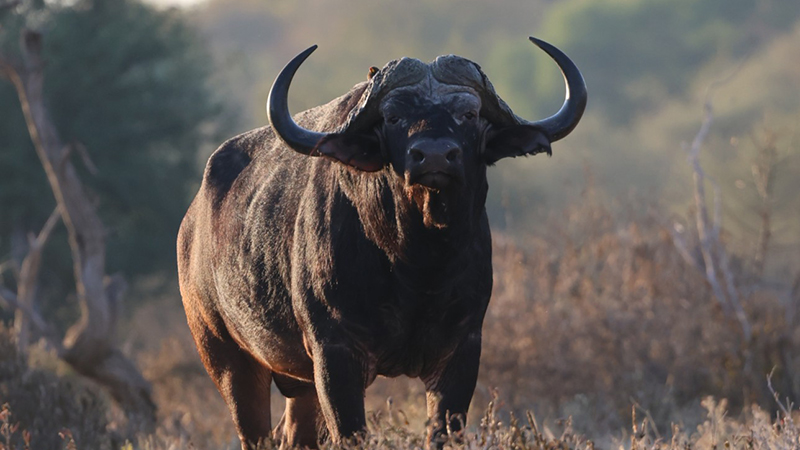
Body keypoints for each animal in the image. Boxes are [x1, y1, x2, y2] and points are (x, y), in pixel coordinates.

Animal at [177, 37, 586, 449]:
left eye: (469, 113)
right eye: (392, 118)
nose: (434, 155)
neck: (417, 263)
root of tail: (190, 225)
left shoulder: (463, 350)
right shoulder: (334, 355)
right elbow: (351, 432)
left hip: (299, 385)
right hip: (227, 358)